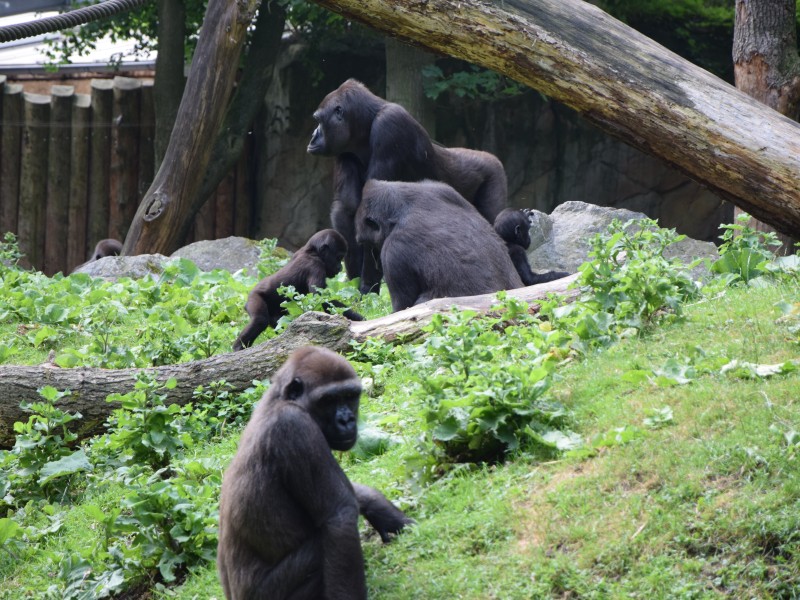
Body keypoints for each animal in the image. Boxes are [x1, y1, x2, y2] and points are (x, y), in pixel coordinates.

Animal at [217, 346, 412, 600]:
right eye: (328, 400)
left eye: (350, 395)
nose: (346, 420)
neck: (282, 399)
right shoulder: (294, 427)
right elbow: (339, 516)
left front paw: (381, 510)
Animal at [233, 230, 364, 352]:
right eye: (338, 257)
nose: (340, 268)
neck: (312, 251)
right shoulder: (315, 266)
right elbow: (321, 298)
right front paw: (361, 319)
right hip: (254, 297)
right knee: (260, 320)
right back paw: (238, 347)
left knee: (278, 321)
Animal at [306, 78, 506, 294]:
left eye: (319, 120)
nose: (313, 135)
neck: (364, 125)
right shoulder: (344, 150)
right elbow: (347, 210)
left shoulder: (390, 126)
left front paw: (367, 288)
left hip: (494, 173)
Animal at [354, 178, 520, 312]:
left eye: (370, 244)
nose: (374, 260)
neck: (400, 208)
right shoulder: (443, 188)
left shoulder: (392, 252)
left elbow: (402, 307)